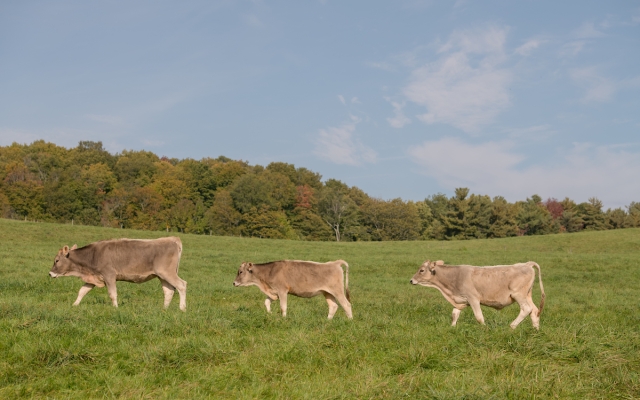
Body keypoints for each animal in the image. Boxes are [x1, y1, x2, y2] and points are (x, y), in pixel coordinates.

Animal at [49, 237, 187, 311]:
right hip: (162, 276)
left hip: (167, 273)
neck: (92, 256)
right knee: (168, 291)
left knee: (181, 285)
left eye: (57, 260)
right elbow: (82, 291)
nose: (50, 273)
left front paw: (115, 308)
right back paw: (164, 309)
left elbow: (112, 294)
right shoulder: (94, 277)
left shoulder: (109, 275)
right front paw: (74, 305)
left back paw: (182, 308)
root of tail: (172, 239)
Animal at [410, 260, 545, 329]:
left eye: (421, 270)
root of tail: (526, 264)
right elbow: (454, 315)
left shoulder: (473, 298)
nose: (411, 280)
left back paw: (512, 326)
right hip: (527, 295)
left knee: (526, 309)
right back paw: (536, 330)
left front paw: (484, 329)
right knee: (534, 310)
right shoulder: (460, 299)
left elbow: (479, 317)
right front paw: (452, 328)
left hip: (519, 295)